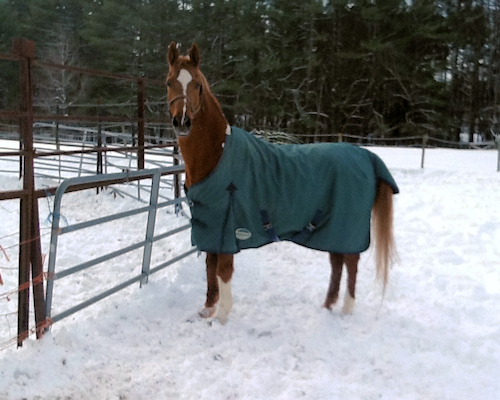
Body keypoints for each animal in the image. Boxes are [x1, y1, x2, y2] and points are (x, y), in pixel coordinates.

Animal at [167, 42, 398, 324]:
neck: (217, 154)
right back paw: (328, 306)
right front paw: (208, 308)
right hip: (333, 230)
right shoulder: (212, 226)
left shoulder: (228, 226)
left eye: (198, 85)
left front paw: (221, 316)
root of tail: (366, 155)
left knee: (351, 263)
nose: (182, 122)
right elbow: (210, 265)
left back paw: (345, 309)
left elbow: (223, 269)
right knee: (337, 263)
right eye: (169, 82)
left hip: (346, 228)